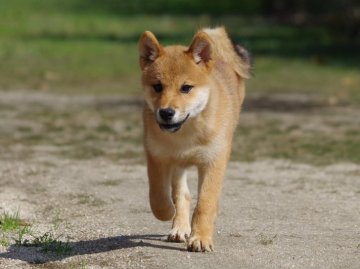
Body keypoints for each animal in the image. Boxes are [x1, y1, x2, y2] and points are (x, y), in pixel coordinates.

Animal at [139, 27, 250, 251]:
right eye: (157, 86)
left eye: (186, 88)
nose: (166, 112)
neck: (185, 136)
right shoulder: (157, 157)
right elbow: (158, 198)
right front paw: (169, 213)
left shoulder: (212, 161)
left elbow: (205, 203)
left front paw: (200, 238)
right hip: (177, 165)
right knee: (183, 195)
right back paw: (179, 228)